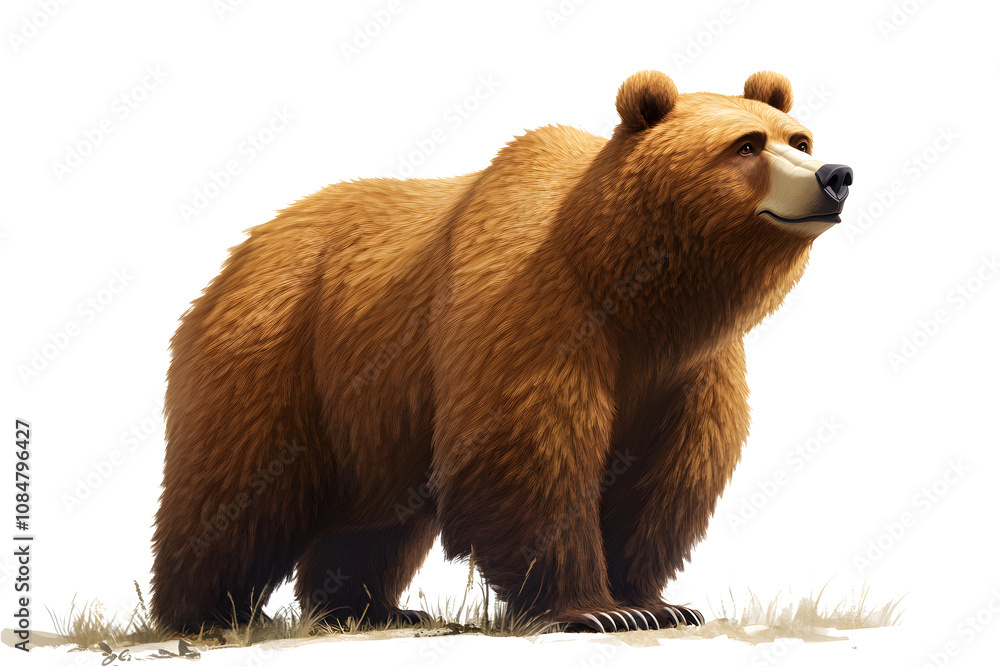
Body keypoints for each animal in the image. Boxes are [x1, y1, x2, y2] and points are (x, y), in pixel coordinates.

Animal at [150, 70, 852, 633]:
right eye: (746, 145)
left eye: (798, 139)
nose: (835, 176)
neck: (640, 295)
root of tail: (248, 245)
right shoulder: (535, 309)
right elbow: (534, 450)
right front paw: (595, 610)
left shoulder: (691, 371)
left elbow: (666, 477)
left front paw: (656, 602)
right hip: (280, 345)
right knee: (238, 482)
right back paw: (208, 614)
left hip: (373, 404)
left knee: (373, 512)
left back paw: (367, 607)